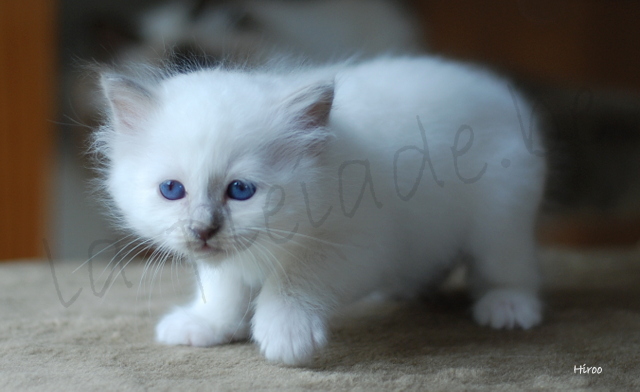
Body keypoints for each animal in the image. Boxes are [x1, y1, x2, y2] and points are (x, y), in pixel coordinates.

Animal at [97, 56, 548, 366]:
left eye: (240, 191)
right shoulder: (232, 260)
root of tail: (494, 87)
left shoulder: (357, 246)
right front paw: (208, 324)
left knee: (510, 268)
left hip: (500, 216)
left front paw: (284, 333)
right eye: (172, 190)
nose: (202, 230)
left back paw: (507, 308)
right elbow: (223, 288)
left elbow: (292, 281)